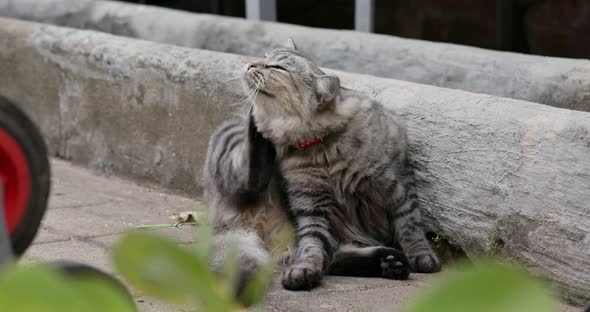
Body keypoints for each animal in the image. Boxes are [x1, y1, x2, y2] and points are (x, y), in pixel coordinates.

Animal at [204, 39, 440, 294]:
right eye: (264, 57)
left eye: (277, 67)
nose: (250, 65)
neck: (322, 146)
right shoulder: (311, 205)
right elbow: (312, 245)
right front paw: (305, 270)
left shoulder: (398, 186)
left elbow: (410, 226)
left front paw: (422, 256)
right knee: (250, 180)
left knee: (335, 256)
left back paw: (390, 262)